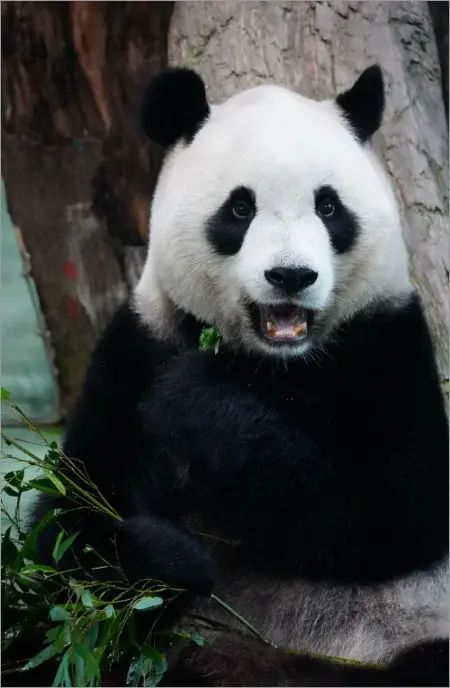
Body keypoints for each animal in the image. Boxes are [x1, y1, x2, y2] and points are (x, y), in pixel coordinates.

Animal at [22, 65, 448, 687]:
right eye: (240, 210)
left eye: (328, 207)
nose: (291, 276)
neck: (272, 363)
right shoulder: (139, 346)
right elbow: (64, 534)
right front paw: (172, 561)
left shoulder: (385, 345)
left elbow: (397, 512)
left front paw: (194, 399)